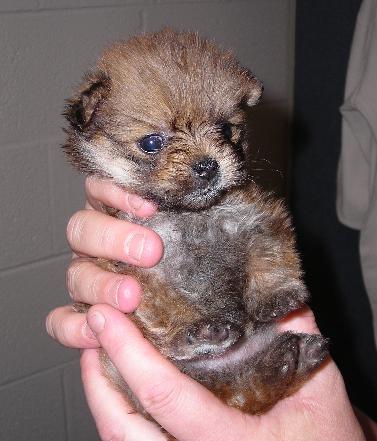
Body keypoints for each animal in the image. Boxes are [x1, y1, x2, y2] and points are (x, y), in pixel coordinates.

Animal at [63, 29, 328, 422]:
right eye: (152, 143)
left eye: (226, 129)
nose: (207, 164)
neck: (188, 215)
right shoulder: (136, 265)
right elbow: (160, 301)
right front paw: (193, 329)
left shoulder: (257, 217)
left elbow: (269, 254)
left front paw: (276, 295)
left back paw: (294, 359)